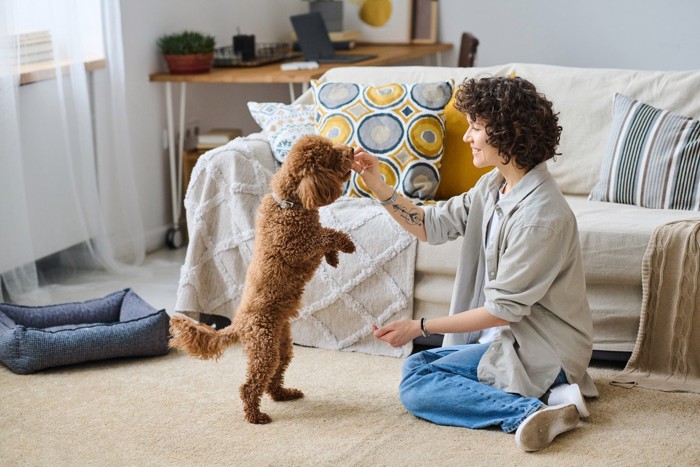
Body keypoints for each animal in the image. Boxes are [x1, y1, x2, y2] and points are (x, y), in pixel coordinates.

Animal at [169, 134, 356, 424]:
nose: (352, 150)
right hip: (264, 348)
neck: (289, 205)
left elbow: (325, 238)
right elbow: (327, 234)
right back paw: (255, 416)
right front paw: (346, 245)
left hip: (282, 347)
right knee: (250, 386)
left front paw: (334, 259)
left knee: (273, 379)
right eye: (331, 156)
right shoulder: (297, 246)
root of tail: (237, 325)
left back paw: (284, 394)